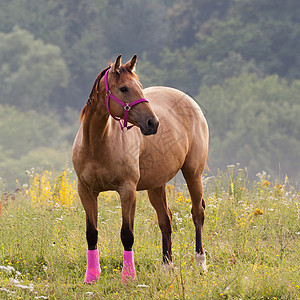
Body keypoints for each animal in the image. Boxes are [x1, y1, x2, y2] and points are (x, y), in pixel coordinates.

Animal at [72, 54, 209, 284]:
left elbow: (127, 234)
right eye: (124, 89)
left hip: (193, 173)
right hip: (156, 185)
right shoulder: (86, 191)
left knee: (197, 213)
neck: (98, 144)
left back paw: (201, 263)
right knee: (165, 220)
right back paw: (167, 266)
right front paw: (91, 276)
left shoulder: (127, 190)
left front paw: (128, 276)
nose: (153, 123)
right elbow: (92, 233)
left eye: (140, 87)